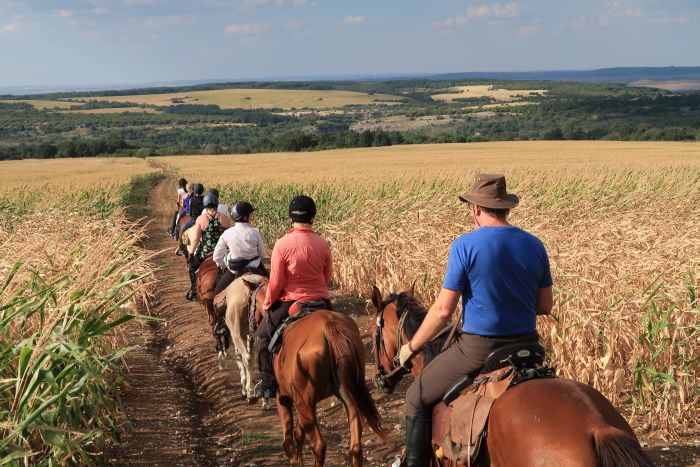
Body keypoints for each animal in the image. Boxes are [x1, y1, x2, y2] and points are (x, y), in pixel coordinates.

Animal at [243, 280, 386, 466]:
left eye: (249, 303)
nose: (251, 326)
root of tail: (329, 325)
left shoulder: (284, 398)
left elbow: (288, 439)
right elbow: (298, 433)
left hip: (304, 404)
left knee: (319, 445)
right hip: (347, 396)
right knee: (355, 447)